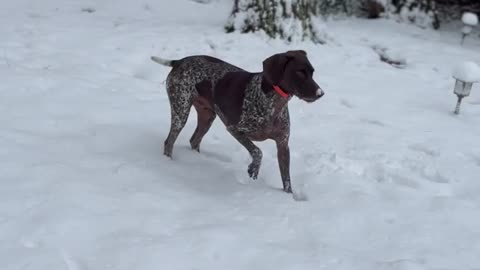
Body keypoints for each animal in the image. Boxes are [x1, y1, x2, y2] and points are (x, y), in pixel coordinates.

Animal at [150, 50, 322, 193]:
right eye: (300, 72)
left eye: (312, 72)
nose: (321, 93)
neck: (274, 103)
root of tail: (179, 61)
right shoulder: (234, 129)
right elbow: (258, 151)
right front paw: (253, 170)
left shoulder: (283, 145)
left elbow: (287, 180)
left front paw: (289, 198)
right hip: (181, 111)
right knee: (169, 142)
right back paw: (170, 164)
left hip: (207, 116)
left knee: (194, 140)